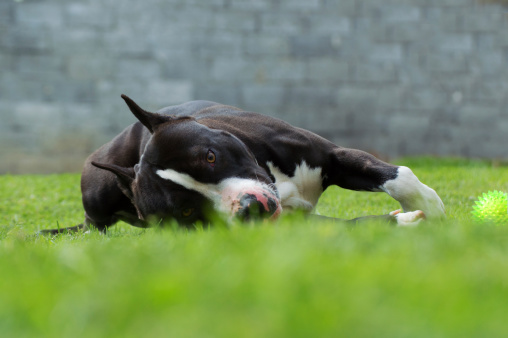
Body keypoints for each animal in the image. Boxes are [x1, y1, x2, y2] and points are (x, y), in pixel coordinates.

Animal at [40, 93, 444, 234]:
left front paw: (431, 206)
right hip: (96, 191)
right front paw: (403, 222)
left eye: (210, 156)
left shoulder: (332, 155)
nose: (250, 208)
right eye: (186, 212)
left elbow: (398, 177)